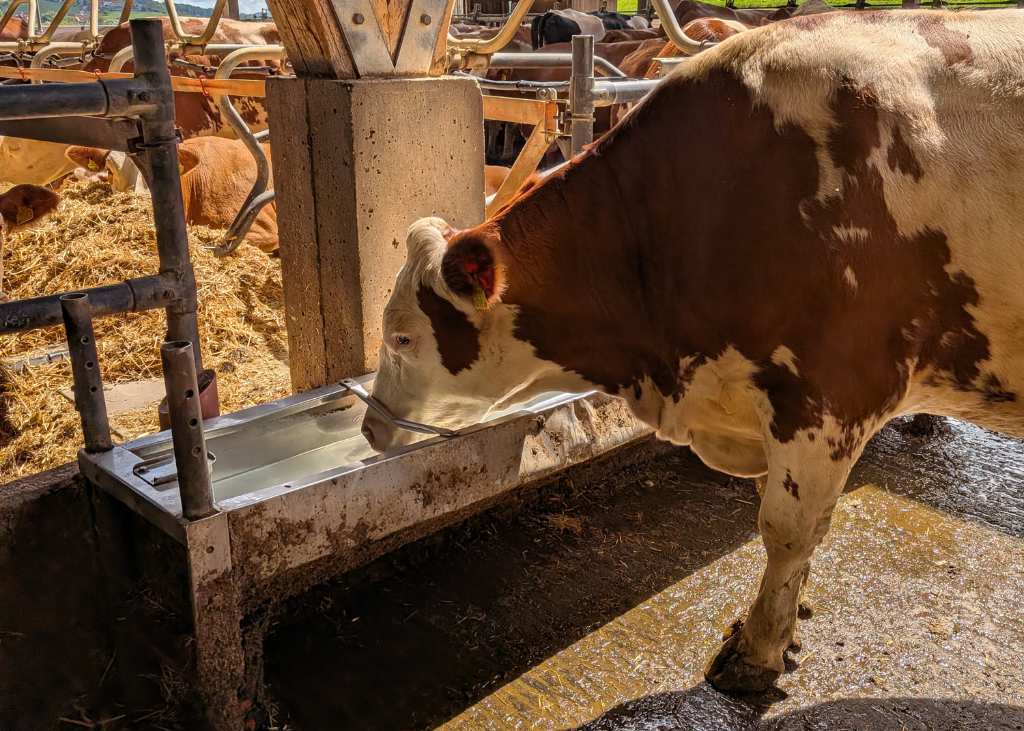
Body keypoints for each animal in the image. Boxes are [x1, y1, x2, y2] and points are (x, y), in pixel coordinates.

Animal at [361, 10, 1024, 696]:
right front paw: (790, 621)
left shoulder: (833, 390)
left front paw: (757, 649)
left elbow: (787, 530)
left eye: (403, 337)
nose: (370, 428)